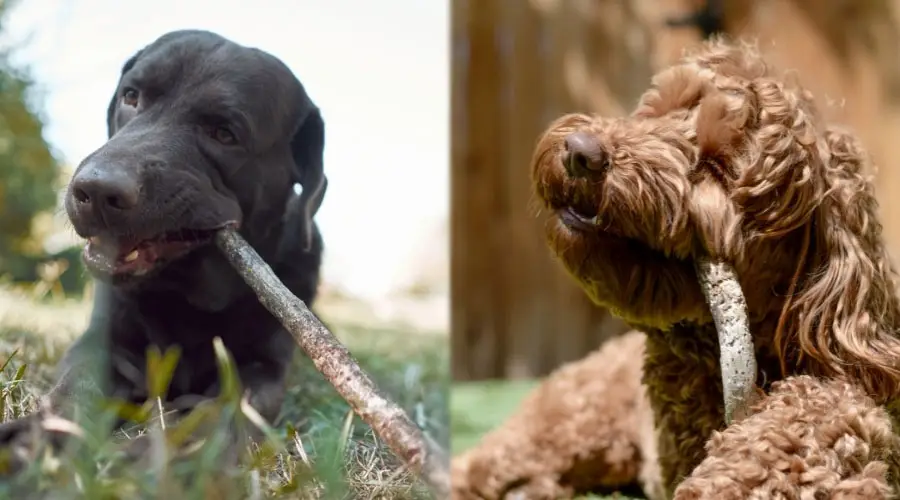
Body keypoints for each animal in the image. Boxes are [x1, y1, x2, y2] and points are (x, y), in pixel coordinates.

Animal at [2, 28, 326, 442]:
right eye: (131, 96)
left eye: (225, 134)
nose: (97, 191)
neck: (190, 302)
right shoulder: (104, 343)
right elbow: (75, 390)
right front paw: (30, 440)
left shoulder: (264, 368)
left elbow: (225, 411)